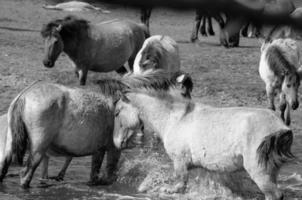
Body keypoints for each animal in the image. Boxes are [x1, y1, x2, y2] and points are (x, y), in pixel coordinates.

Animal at [0, 70, 193, 188]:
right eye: (185, 93)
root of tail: (23, 95)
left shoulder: (99, 149)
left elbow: (95, 174)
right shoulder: (114, 148)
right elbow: (110, 174)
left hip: (10, 149)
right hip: (38, 150)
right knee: (25, 175)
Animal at [112, 86, 292, 199]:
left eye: (117, 113)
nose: (116, 143)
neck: (174, 119)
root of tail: (281, 126)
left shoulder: (180, 161)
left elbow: (179, 184)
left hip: (259, 172)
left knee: (274, 195)